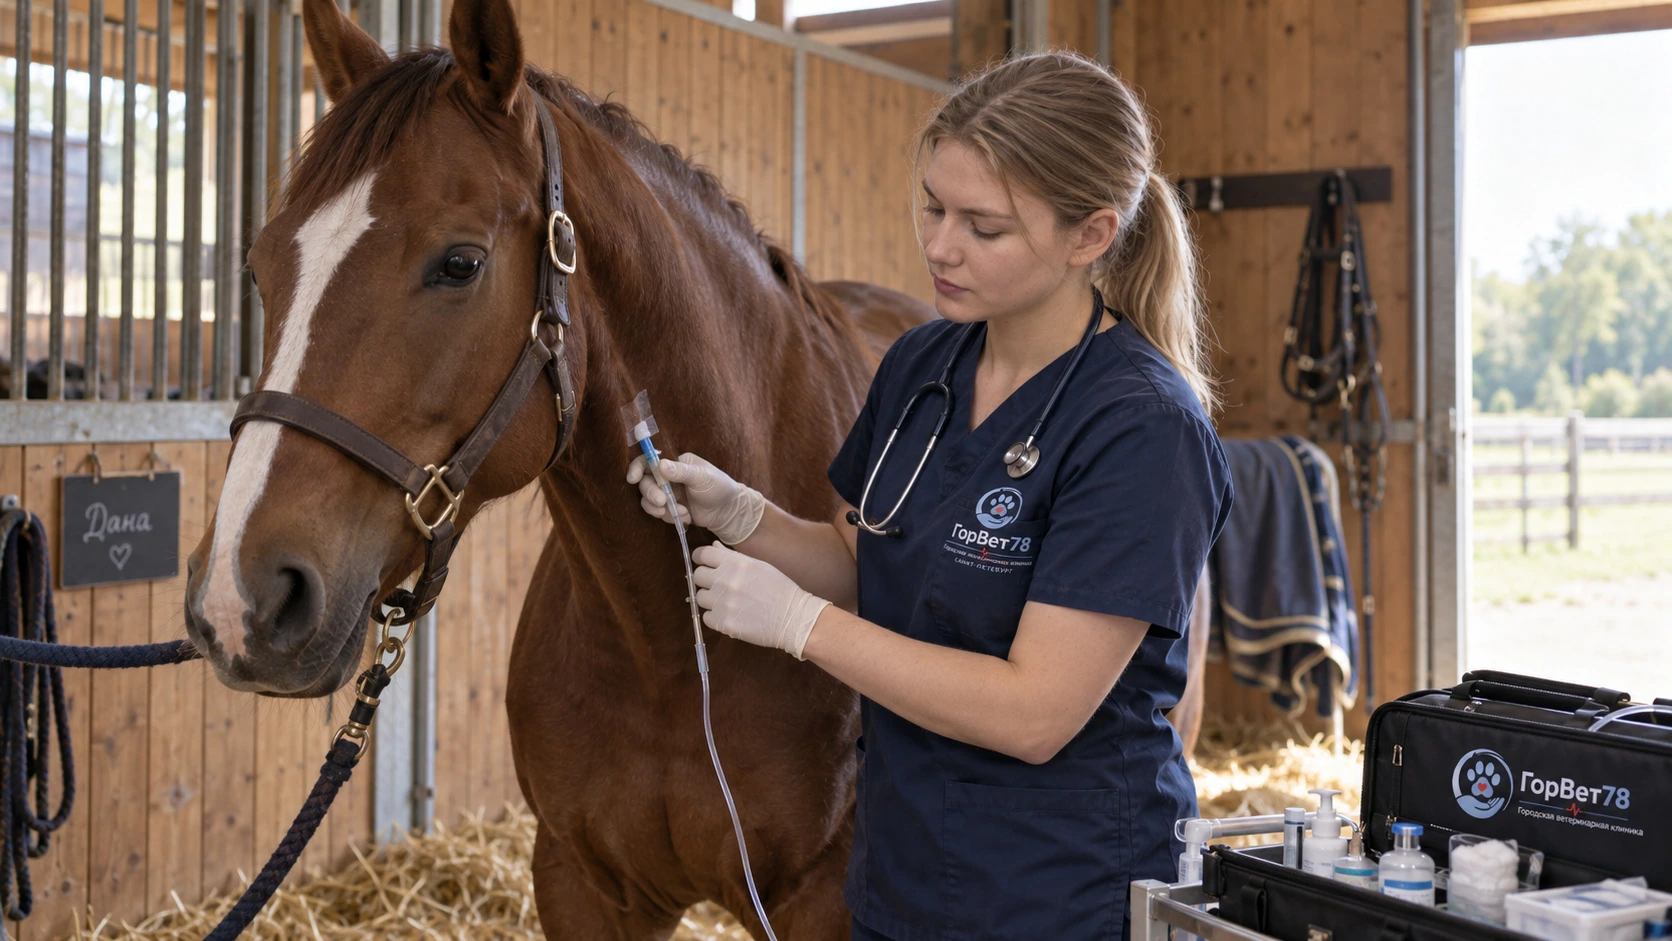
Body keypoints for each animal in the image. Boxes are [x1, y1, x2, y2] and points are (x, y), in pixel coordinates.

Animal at [181, 0, 935, 935]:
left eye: (460, 262)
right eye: (260, 267)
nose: (238, 600)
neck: (672, 657)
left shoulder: (823, 903)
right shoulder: (581, 881)